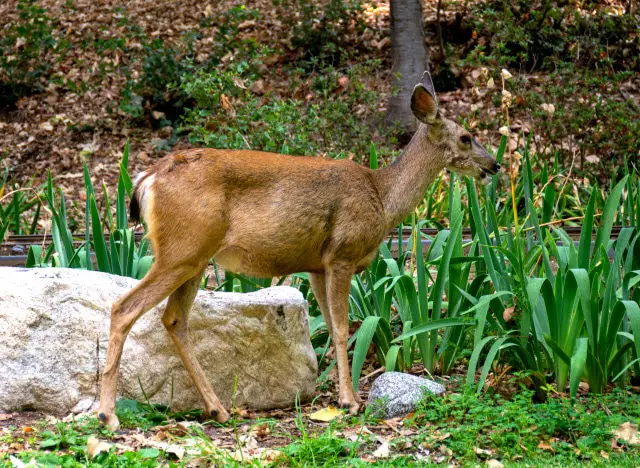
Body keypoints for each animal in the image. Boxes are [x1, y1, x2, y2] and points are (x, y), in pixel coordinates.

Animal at [97, 71, 502, 430]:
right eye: (466, 137)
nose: (494, 165)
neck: (382, 197)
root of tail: (146, 179)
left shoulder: (317, 265)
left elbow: (335, 326)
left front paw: (344, 398)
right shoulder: (342, 253)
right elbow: (342, 327)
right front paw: (350, 402)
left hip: (194, 257)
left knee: (173, 319)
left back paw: (218, 410)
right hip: (182, 249)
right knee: (124, 308)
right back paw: (108, 416)